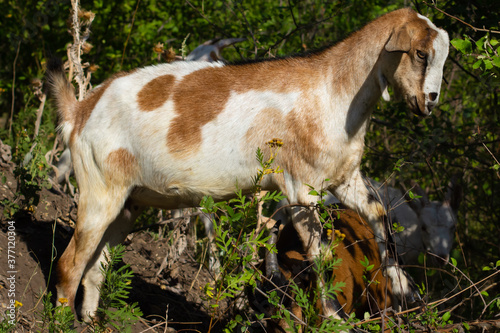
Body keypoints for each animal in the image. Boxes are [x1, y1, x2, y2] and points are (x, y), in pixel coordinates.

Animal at [47, 8, 452, 320]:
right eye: (420, 54)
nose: (430, 101)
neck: (333, 90)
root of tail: (81, 109)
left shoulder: (344, 179)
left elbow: (379, 215)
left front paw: (404, 289)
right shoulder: (302, 189)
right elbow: (320, 254)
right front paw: (333, 315)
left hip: (130, 201)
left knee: (96, 266)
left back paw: (90, 319)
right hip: (100, 188)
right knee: (70, 263)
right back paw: (63, 321)